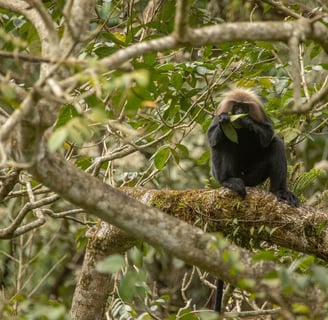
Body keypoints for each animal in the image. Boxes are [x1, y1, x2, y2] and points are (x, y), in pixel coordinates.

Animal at [208, 87, 300, 312]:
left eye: (244, 107)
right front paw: (226, 120)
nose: (239, 112)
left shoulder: (261, 117)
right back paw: (229, 181)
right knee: (223, 144)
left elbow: (268, 135)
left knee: (276, 144)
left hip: (252, 176)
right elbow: (213, 138)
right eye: (235, 106)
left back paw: (280, 191)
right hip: (224, 173)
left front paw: (248, 122)